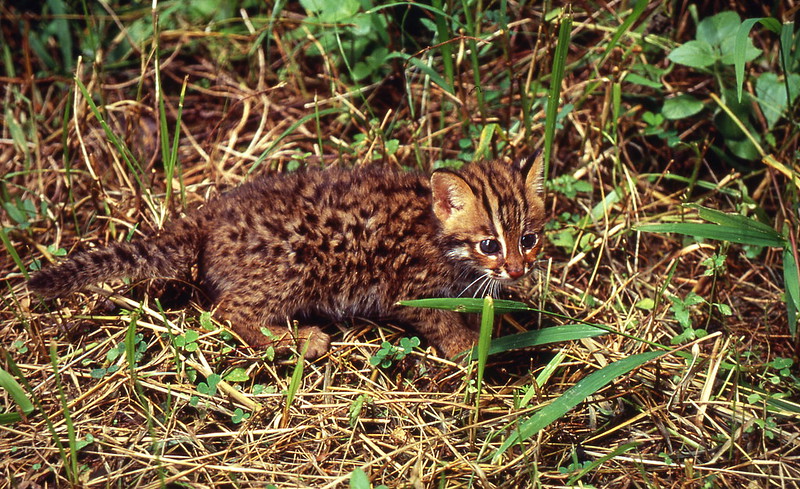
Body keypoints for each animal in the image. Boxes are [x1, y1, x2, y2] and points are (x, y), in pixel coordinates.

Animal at [28, 156, 548, 358]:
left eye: (529, 240)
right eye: (489, 245)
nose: (518, 270)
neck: (437, 232)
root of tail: (210, 213)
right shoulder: (407, 289)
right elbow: (436, 319)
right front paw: (467, 345)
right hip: (292, 266)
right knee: (229, 310)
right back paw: (298, 340)